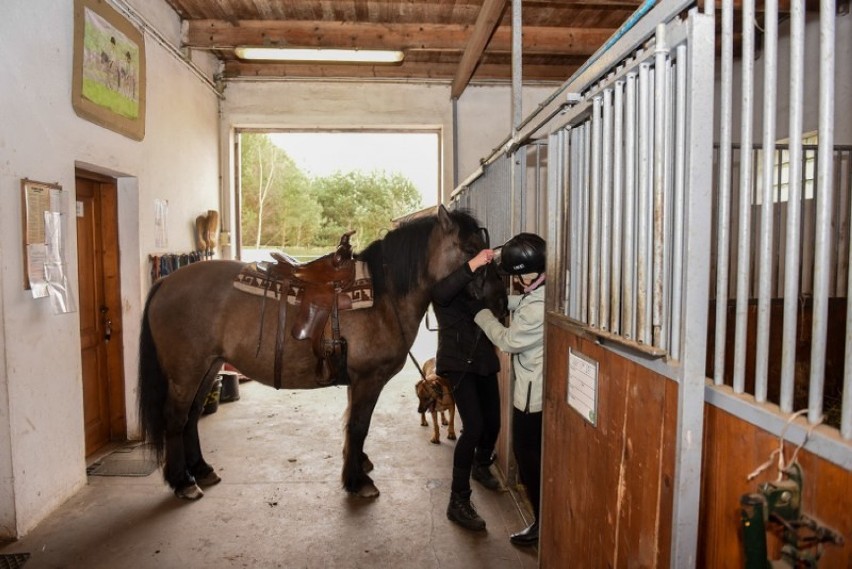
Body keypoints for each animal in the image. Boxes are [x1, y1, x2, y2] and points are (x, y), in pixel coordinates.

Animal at [139, 206, 506, 500]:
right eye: (471, 250)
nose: (501, 301)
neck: (384, 297)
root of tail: (166, 282)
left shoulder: (356, 381)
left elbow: (353, 425)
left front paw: (358, 465)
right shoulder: (367, 380)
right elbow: (358, 426)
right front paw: (357, 482)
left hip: (209, 367)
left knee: (191, 417)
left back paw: (201, 470)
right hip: (187, 372)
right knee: (176, 418)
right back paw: (182, 482)